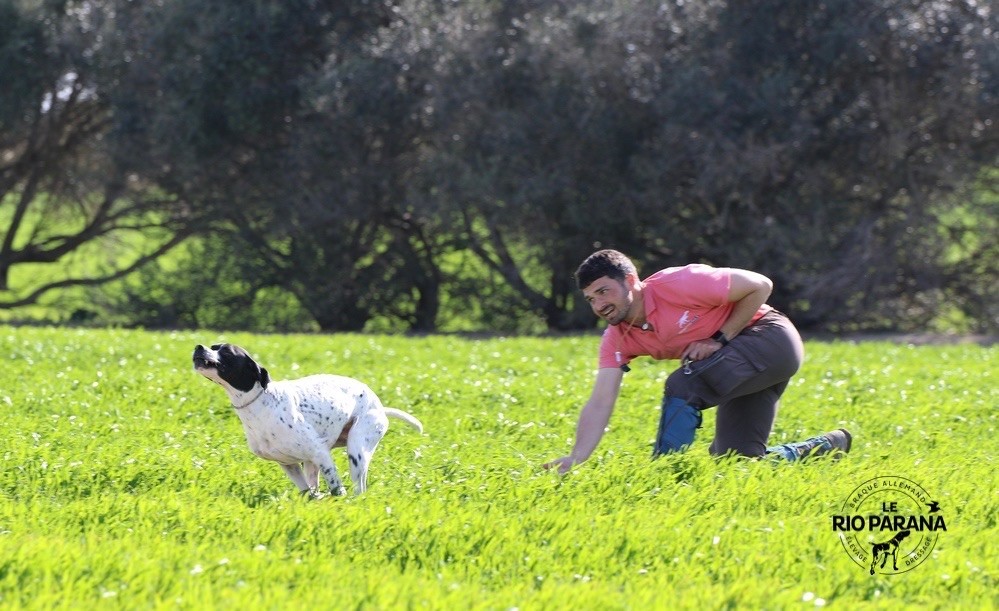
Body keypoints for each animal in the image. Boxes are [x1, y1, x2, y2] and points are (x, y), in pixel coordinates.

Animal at [192, 344, 422, 498]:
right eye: (213, 346)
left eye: (227, 352)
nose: (199, 346)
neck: (260, 404)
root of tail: (380, 406)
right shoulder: (290, 464)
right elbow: (308, 492)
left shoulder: (321, 454)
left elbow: (336, 488)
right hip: (314, 463)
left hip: (356, 451)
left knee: (359, 488)